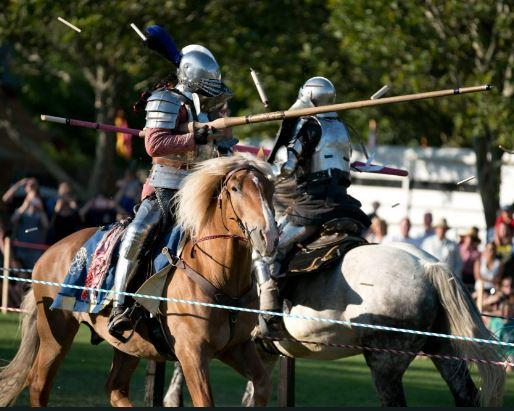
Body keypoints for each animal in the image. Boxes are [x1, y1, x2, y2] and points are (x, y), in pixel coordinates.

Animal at [0, 155, 278, 408]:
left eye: (270, 189)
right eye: (236, 189)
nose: (269, 236)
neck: (214, 273)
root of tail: (48, 253)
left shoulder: (238, 347)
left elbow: (263, 384)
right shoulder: (192, 355)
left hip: (129, 345)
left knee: (115, 389)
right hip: (56, 333)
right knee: (39, 384)